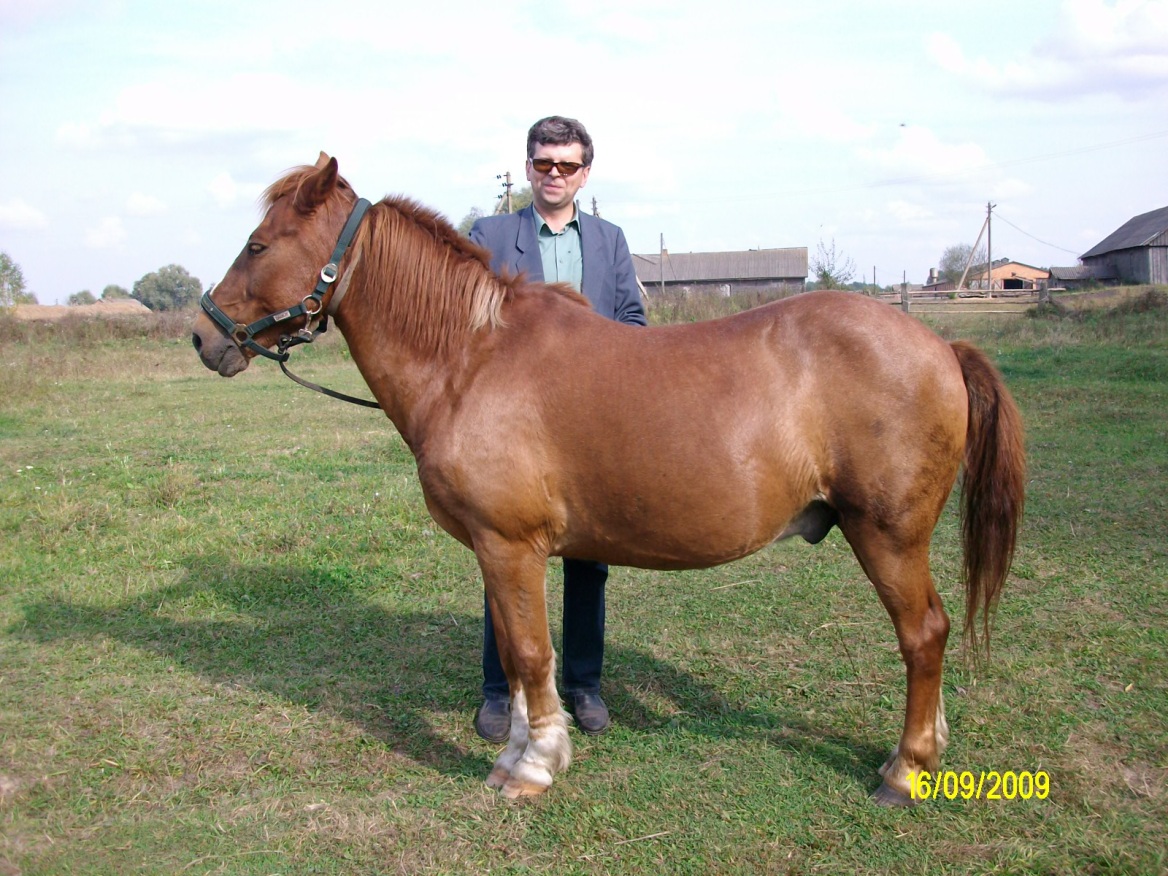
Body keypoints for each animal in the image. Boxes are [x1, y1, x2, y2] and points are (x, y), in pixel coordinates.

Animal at [191, 154, 1023, 808]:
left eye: (258, 244)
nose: (203, 337)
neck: (471, 360)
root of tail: (939, 346)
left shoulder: (510, 544)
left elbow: (531, 655)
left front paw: (533, 768)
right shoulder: (499, 552)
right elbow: (515, 652)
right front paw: (514, 751)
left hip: (887, 535)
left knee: (924, 634)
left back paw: (904, 771)